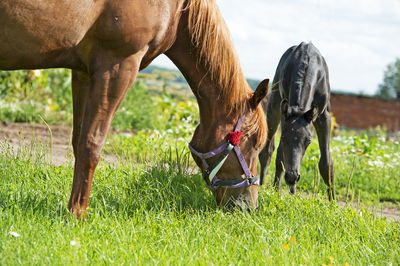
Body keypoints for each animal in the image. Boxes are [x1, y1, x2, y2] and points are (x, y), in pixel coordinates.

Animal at [0, 0, 268, 216]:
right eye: (256, 143)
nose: (250, 207)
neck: (176, 7)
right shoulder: (118, 66)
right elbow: (92, 145)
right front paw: (77, 215)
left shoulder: (83, 72)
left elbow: (78, 142)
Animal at [260, 42, 334, 200]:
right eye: (283, 137)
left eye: (308, 141)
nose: (292, 177)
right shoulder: (285, 109)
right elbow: (280, 155)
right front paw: (275, 192)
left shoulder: (324, 115)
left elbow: (326, 163)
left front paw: (333, 202)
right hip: (274, 104)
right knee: (268, 150)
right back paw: (264, 186)